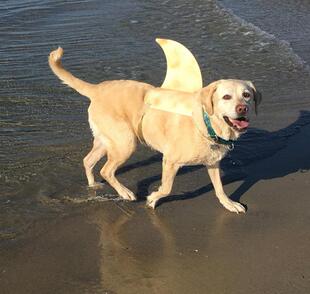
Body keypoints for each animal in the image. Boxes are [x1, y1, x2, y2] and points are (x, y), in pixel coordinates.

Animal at [49, 47, 262, 214]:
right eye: (226, 97)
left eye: (246, 95)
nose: (242, 108)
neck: (207, 123)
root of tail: (97, 89)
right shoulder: (170, 160)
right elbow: (167, 188)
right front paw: (152, 199)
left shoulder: (213, 163)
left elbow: (219, 188)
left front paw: (229, 203)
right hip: (126, 142)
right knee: (106, 170)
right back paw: (125, 192)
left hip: (108, 140)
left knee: (88, 161)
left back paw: (93, 185)